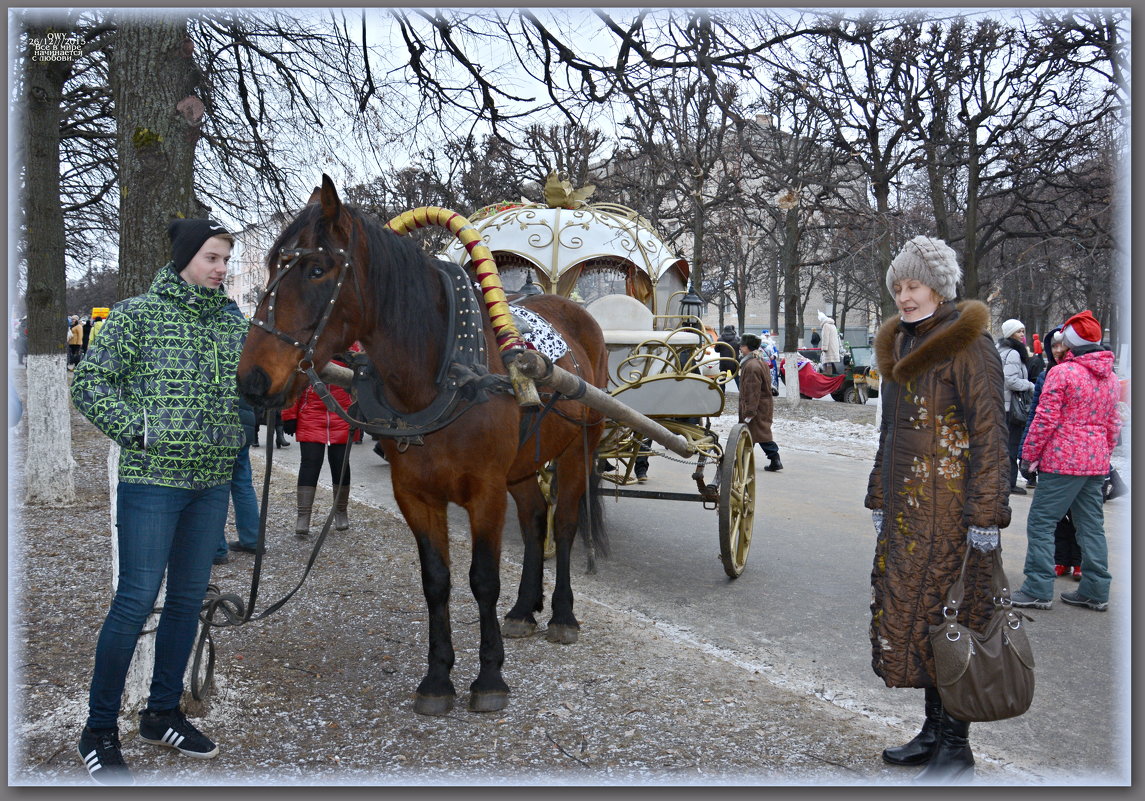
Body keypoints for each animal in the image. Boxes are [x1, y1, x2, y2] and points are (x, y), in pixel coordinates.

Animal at [238, 175, 613, 714]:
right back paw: (524, 610)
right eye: (270, 265)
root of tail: (568, 307)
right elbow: (436, 581)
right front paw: (438, 678)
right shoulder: (415, 494)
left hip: (577, 450)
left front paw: (489, 677)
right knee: (534, 520)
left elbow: (482, 579)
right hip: (523, 465)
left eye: (316, 268)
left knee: (562, 526)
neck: (445, 374)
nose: (252, 379)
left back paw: (562, 614)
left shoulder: (484, 493)